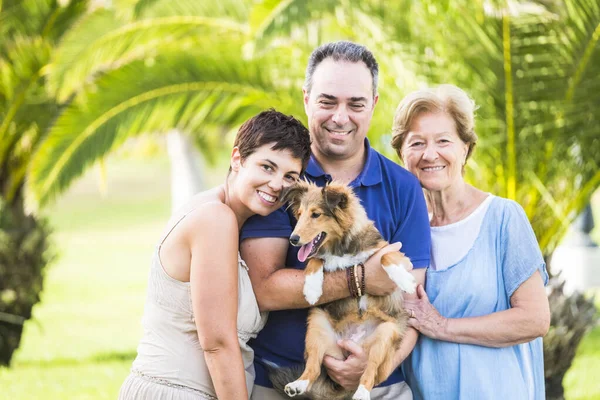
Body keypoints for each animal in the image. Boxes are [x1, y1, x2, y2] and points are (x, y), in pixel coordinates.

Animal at [272, 180, 418, 400]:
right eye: (299, 213)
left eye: (316, 214)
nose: (293, 239)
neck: (340, 247)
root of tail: (353, 342)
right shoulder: (320, 258)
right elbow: (314, 260)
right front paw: (312, 289)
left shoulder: (392, 251)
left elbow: (386, 257)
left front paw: (405, 280)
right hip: (317, 323)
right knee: (313, 367)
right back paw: (297, 385)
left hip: (385, 333)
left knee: (370, 371)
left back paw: (362, 393)